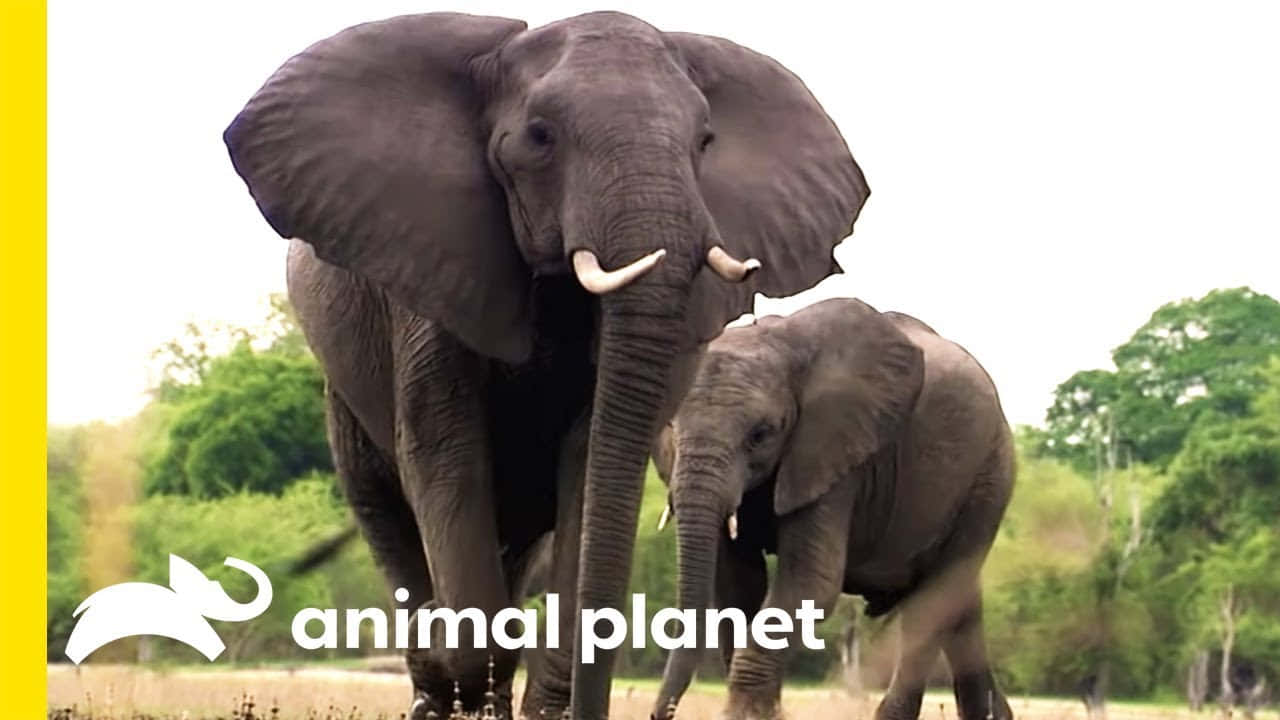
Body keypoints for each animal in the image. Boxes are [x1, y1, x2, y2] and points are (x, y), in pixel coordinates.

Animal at [222, 11, 868, 719]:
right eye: (540, 137)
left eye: (704, 141)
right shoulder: (430, 269)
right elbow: (447, 452)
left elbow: (589, 455)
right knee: (391, 518)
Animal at [649, 298, 1015, 720]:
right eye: (671, 427)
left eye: (761, 435)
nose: (660, 713)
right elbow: (737, 585)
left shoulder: (835, 456)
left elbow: (810, 584)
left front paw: (746, 716)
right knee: (962, 606)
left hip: (988, 478)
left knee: (933, 603)